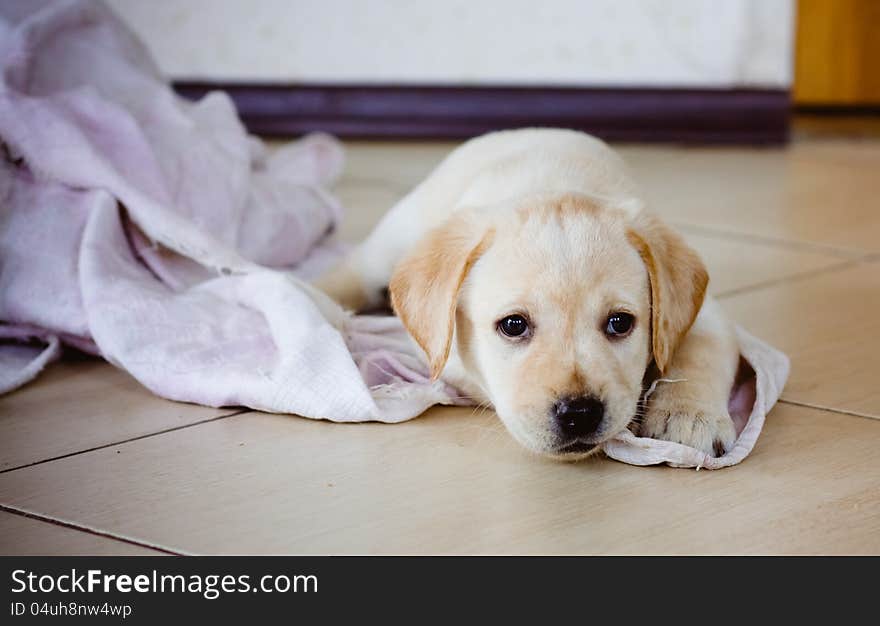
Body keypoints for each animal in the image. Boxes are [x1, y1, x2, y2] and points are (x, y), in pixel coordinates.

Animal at [312, 128, 740, 458]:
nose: (579, 413)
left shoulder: (705, 313)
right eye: (513, 325)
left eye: (620, 323)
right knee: (350, 272)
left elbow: (701, 349)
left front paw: (689, 414)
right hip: (391, 241)